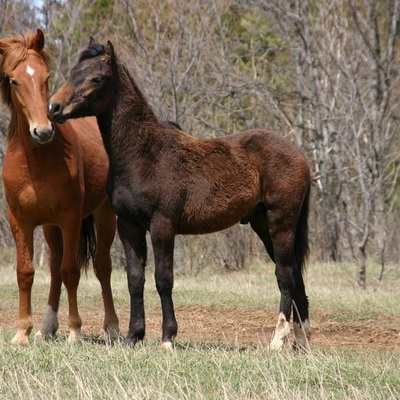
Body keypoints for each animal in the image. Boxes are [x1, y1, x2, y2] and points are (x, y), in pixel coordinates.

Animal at [0, 30, 120, 344]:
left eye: (46, 76)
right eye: (14, 80)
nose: (43, 130)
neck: (37, 161)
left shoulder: (70, 218)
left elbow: (71, 271)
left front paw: (75, 331)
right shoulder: (20, 221)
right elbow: (25, 272)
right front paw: (22, 332)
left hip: (104, 216)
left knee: (102, 266)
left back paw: (113, 327)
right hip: (50, 227)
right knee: (54, 267)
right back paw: (47, 326)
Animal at [48, 38, 312, 350]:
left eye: (96, 78)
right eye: (72, 72)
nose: (54, 107)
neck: (145, 155)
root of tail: (300, 156)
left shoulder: (162, 225)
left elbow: (163, 279)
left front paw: (167, 338)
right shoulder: (129, 227)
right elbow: (134, 280)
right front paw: (133, 337)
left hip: (280, 222)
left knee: (284, 275)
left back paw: (278, 340)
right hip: (263, 224)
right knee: (295, 274)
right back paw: (301, 342)